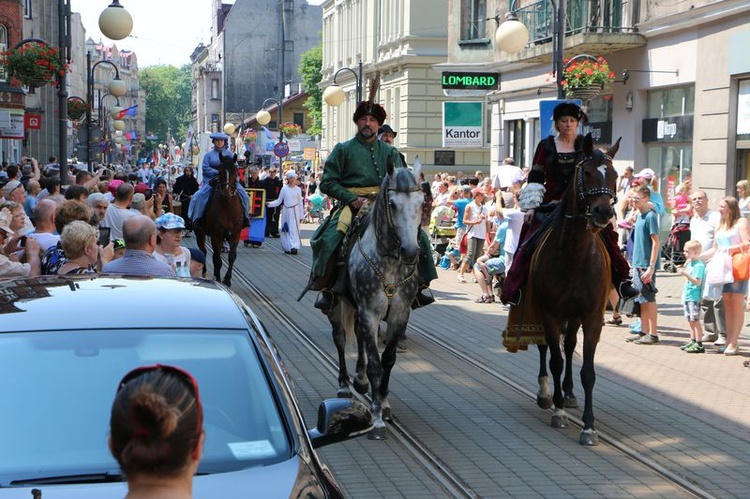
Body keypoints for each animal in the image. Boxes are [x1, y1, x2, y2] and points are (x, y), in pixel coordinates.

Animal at [195, 152, 242, 288]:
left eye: (235, 172)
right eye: (219, 171)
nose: (226, 193)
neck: (228, 209)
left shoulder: (235, 235)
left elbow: (231, 256)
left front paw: (227, 279)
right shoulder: (216, 236)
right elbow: (217, 259)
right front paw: (218, 278)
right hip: (199, 233)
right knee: (204, 252)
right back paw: (205, 273)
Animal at [328, 160, 426, 442]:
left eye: (422, 202)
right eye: (392, 204)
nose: (411, 251)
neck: (389, 263)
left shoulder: (399, 314)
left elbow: (388, 360)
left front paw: (383, 402)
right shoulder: (369, 312)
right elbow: (375, 364)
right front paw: (377, 418)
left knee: (359, 338)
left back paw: (360, 381)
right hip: (337, 304)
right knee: (340, 338)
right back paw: (344, 385)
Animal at [524, 133, 620, 446]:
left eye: (614, 175)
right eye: (586, 172)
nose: (604, 212)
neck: (574, 256)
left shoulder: (592, 318)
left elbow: (587, 371)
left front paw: (588, 427)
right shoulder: (550, 313)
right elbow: (554, 359)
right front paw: (558, 411)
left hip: (575, 316)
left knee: (569, 346)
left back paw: (568, 393)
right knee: (546, 349)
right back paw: (547, 393)